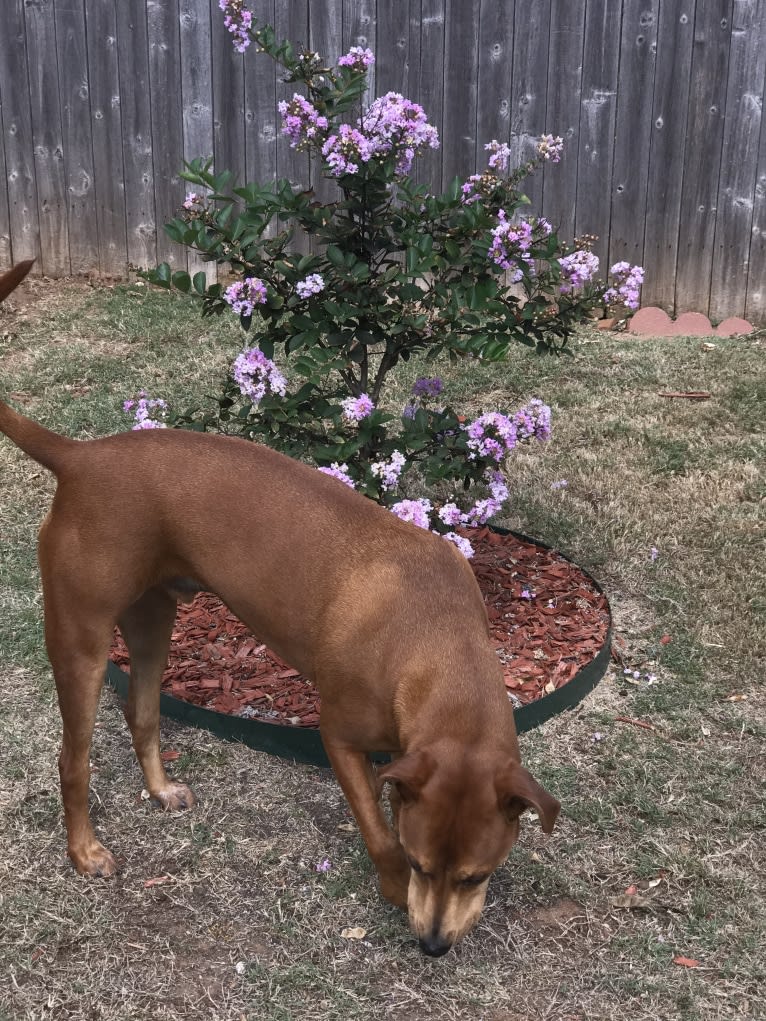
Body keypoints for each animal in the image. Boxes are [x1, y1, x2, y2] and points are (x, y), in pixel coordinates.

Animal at [0, 296, 559, 955]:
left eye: (477, 875)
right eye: (423, 865)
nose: (433, 945)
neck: (433, 635)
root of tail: (83, 456)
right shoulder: (339, 737)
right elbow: (377, 829)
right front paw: (394, 888)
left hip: (153, 621)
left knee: (142, 711)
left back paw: (160, 790)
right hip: (81, 640)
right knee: (73, 757)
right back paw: (85, 851)